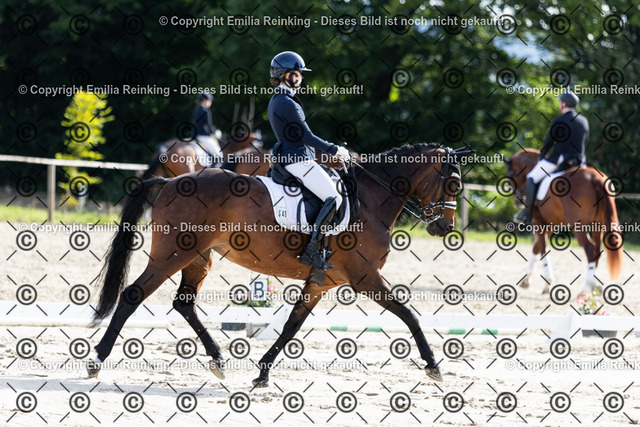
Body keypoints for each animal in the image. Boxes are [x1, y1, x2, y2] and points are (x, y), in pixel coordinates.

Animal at [87, 142, 472, 386]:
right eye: (453, 183)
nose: (444, 227)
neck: (372, 199)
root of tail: (170, 180)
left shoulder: (321, 282)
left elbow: (290, 327)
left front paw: (262, 373)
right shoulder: (366, 278)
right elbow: (410, 315)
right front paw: (434, 366)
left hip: (199, 258)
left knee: (184, 303)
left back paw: (218, 360)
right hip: (172, 255)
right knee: (132, 296)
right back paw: (97, 360)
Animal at [506, 149, 622, 294]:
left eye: (510, 173)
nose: (517, 202)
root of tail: (595, 178)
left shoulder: (538, 221)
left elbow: (542, 248)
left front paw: (547, 282)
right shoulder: (551, 225)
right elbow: (536, 247)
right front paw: (526, 280)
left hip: (578, 226)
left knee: (590, 249)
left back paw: (585, 289)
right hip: (598, 225)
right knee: (597, 251)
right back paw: (593, 287)